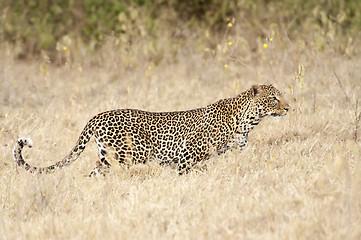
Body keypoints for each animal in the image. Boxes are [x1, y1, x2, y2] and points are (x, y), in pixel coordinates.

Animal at [13, 83, 290, 175]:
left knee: (95, 171)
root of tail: (97, 116)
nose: (288, 108)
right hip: (127, 154)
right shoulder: (187, 154)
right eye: (274, 98)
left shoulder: (238, 149)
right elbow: (183, 174)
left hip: (108, 155)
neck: (247, 120)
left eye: (281, 97)